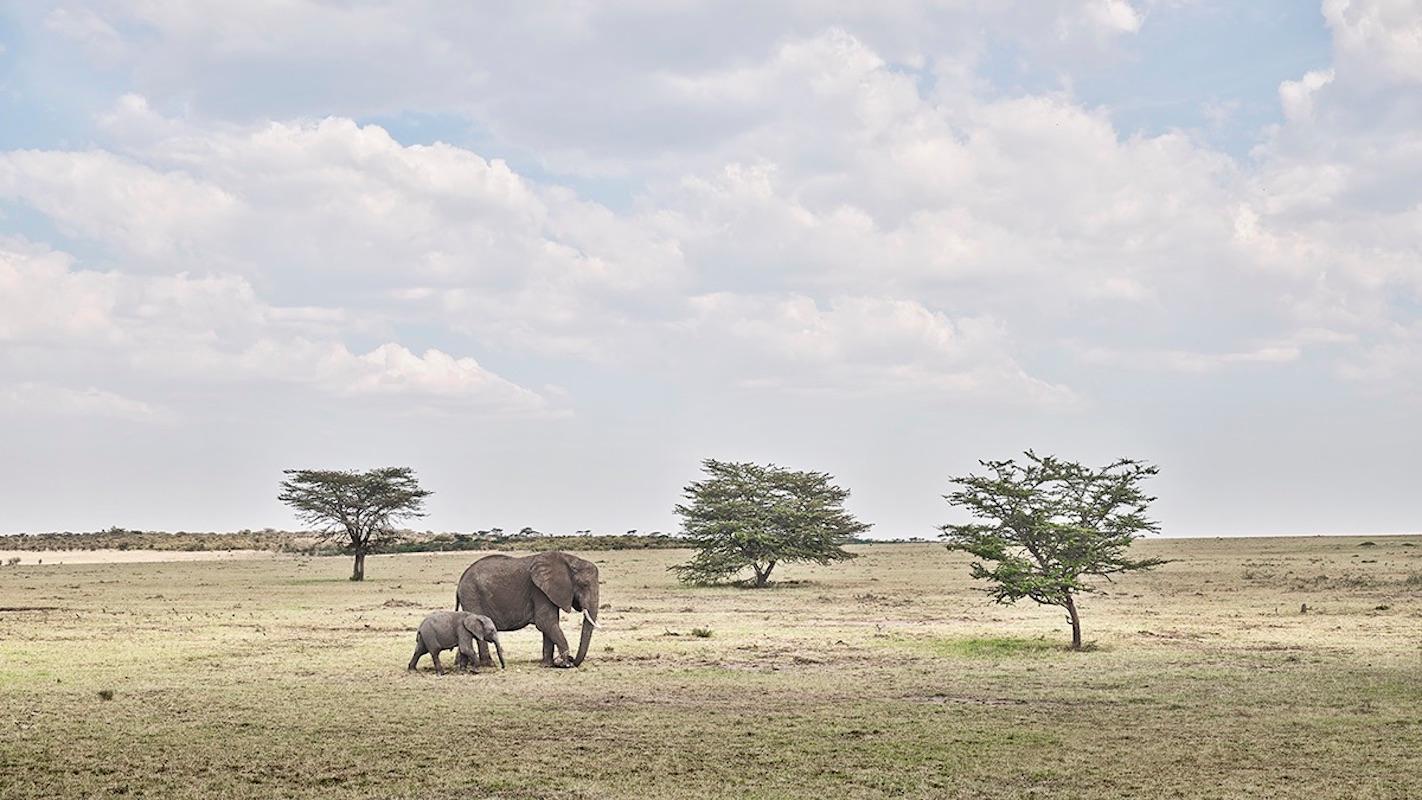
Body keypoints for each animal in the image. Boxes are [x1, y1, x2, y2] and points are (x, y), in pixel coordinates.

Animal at [455, 551, 600, 670]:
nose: (573, 660)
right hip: (472, 595)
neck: (570, 560)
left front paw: (547, 665)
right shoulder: (539, 591)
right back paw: (489, 665)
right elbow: (545, 622)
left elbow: (549, 625)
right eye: (584, 585)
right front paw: (565, 664)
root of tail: (460, 580)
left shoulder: (547, 592)